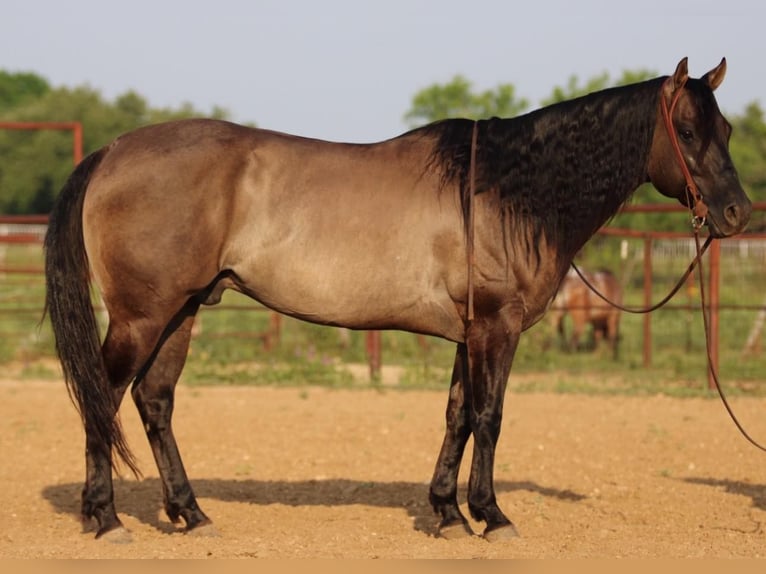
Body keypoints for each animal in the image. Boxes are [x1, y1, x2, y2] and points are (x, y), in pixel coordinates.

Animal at [43, 58, 751, 542]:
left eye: (727, 128)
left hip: (183, 311)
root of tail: (114, 151)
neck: (508, 189)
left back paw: (191, 514)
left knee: (154, 402)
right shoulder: (497, 328)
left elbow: (457, 416)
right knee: (104, 398)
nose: (737, 213)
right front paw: (492, 516)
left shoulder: (470, 333)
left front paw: (448, 514)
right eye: (688, 130)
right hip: (143, 316)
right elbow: (489, 417)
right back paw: (106, 518)